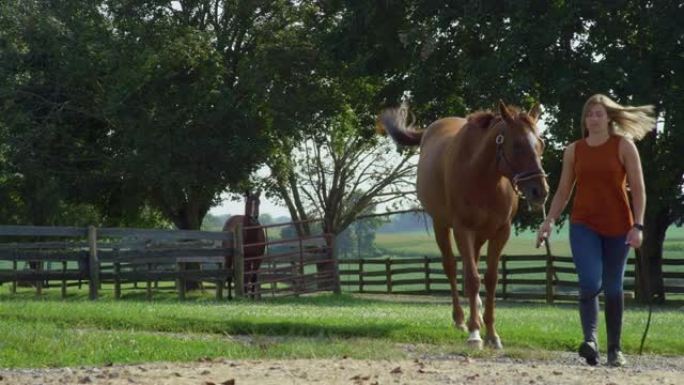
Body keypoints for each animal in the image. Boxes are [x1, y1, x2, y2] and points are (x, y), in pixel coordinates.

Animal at [380, 100, 552, 346]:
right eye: (517, 145)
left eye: (541, 144)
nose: (540, 191)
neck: (483, 177)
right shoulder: (463, 229)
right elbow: (471, 279)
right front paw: (474, 334)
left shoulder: (501, 232)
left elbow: (490, 279)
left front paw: (491, 333)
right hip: (442, 226)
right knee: (452, 268)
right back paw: (461, 319)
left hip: (479, 234)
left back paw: (476, 314)